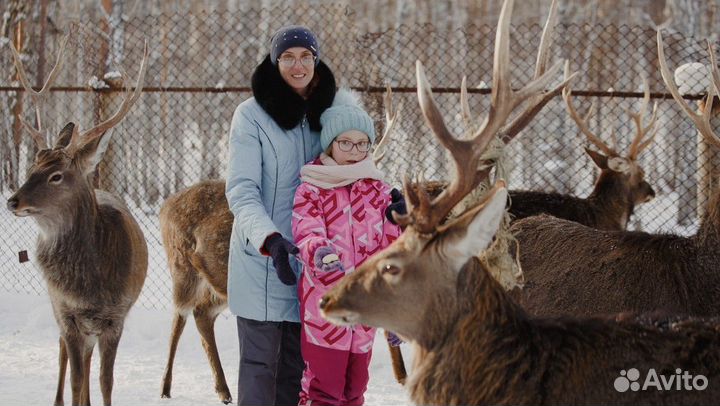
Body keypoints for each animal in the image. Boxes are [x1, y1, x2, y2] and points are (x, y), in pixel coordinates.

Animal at [4, 38, 149, 406]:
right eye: (32, 167)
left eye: (56, 175)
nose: (13, 200)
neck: (88, 288)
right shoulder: (66, 312)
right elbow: (75, 377)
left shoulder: (115, 317)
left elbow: (105, 380)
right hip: (62, 314)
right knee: (65, 358)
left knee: (85, 359)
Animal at [158, 86, 404, 402]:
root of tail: (165, 207)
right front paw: (402, 376)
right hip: (181, 266)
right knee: (179, 316)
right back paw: (166, 387)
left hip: (218, 284)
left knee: (201, 314)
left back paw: (223, 390)